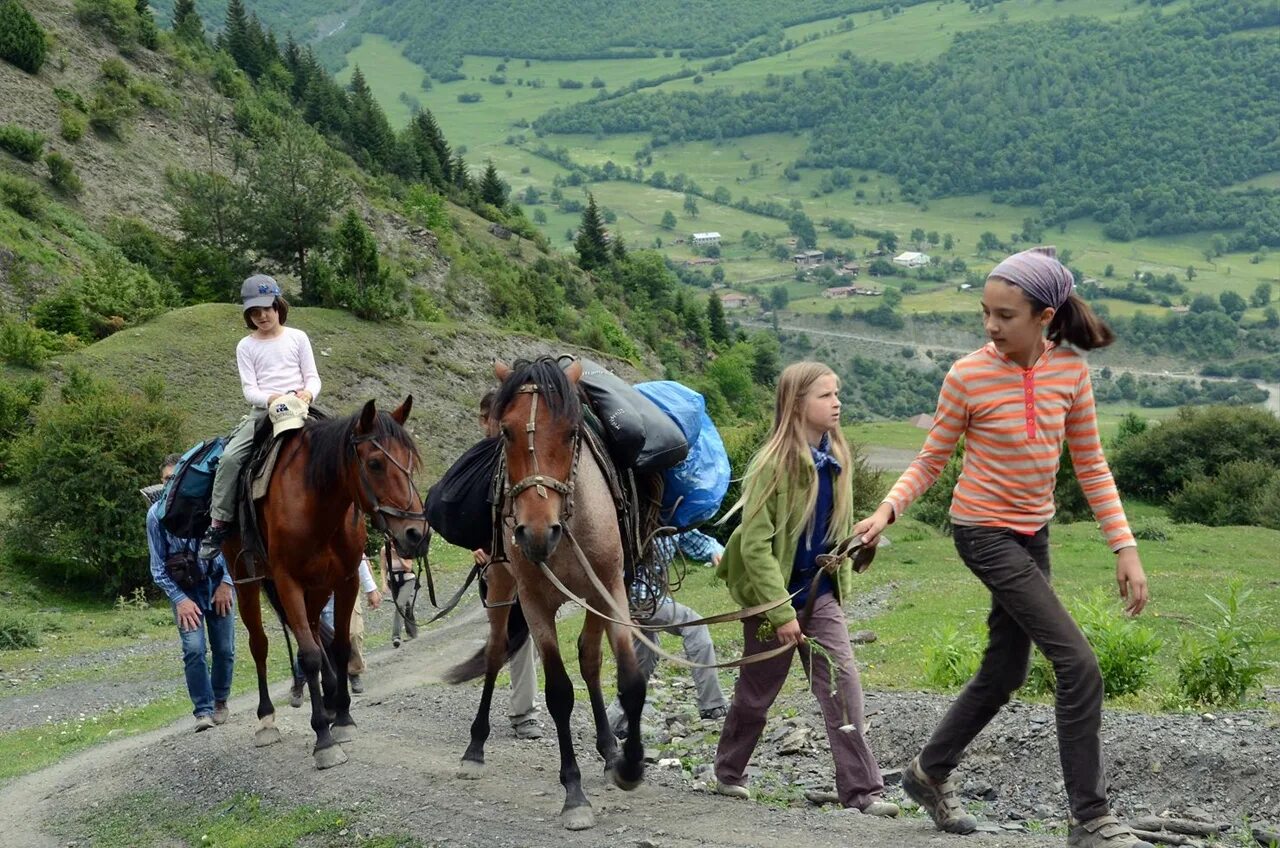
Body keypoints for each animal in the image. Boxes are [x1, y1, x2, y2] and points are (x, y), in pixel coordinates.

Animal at [225, 399, 430, 768]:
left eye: (410, 459)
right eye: (375, 463)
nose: (416, 534)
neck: (316, 501)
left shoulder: (345, 579)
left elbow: (340, 645)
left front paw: (344, 718)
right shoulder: (287, 581)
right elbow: (308, 655)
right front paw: (323, 739)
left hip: (317, 589)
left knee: (315, 630)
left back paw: (333, 699)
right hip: (246, 582)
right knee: (261, 644)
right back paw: (267, 719)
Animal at [453, 356, 650, 830]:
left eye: (572, 432)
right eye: (506, 432)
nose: (537, 533)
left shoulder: (610, 590)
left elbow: (628, 678)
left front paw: (629, 765)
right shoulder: (535, 601)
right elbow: (559, 692)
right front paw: (574, 794)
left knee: (590, 659)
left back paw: (609, 751)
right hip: (501, 587)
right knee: (494, 653)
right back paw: (474, 749)